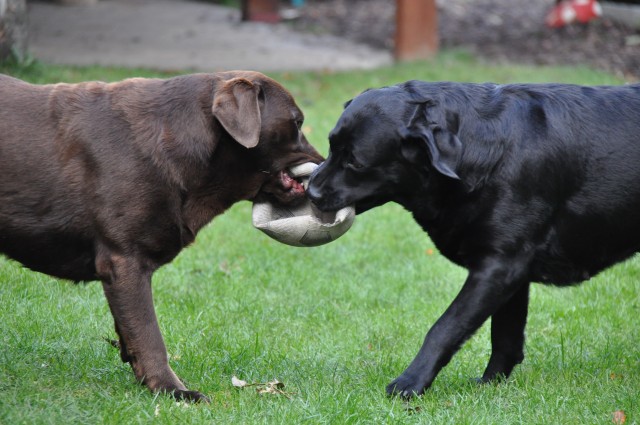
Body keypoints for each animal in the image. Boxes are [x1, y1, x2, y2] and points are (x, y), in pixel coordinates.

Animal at [0, 71, 322, 402]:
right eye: (297, 123)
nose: (324, 166)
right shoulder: (125, 260)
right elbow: (148, 333)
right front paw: (173, 389)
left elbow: (131, 331)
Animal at [307, 80, 640, 398]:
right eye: (332, 146)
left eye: (355, 162)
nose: (309, 191)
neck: (479, 154)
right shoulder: (511, 271)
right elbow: (505, 338)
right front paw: (490, 385)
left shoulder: (500, 266)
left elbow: (445, 327)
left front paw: (410, 383)